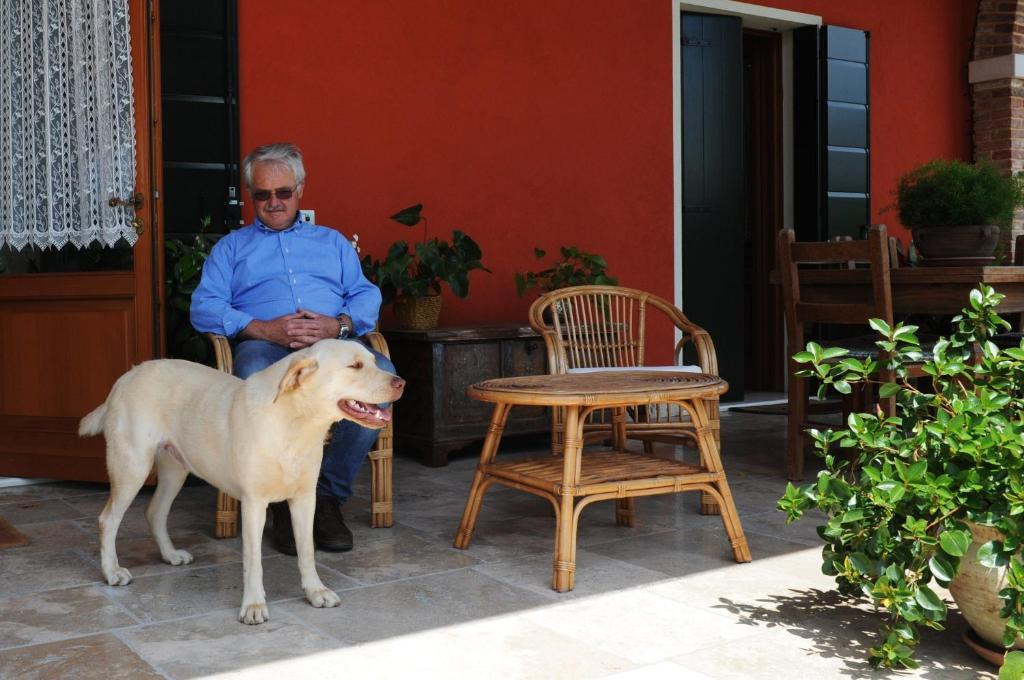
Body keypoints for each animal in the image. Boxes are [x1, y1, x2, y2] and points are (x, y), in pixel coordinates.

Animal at [77, 342, 403, 622]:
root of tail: (127, 376)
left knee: (154, 511)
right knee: (108, 519)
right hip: (132, 466)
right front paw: (254, 605)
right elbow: (253, 560)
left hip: (174, 469)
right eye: (355, 365)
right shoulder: (253, 504)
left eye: (374, 361)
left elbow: (307, 551)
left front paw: (315, 591)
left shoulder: (305, 499)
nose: (401, 382)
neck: (294, 425)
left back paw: (170, 554)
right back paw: (112, 572)